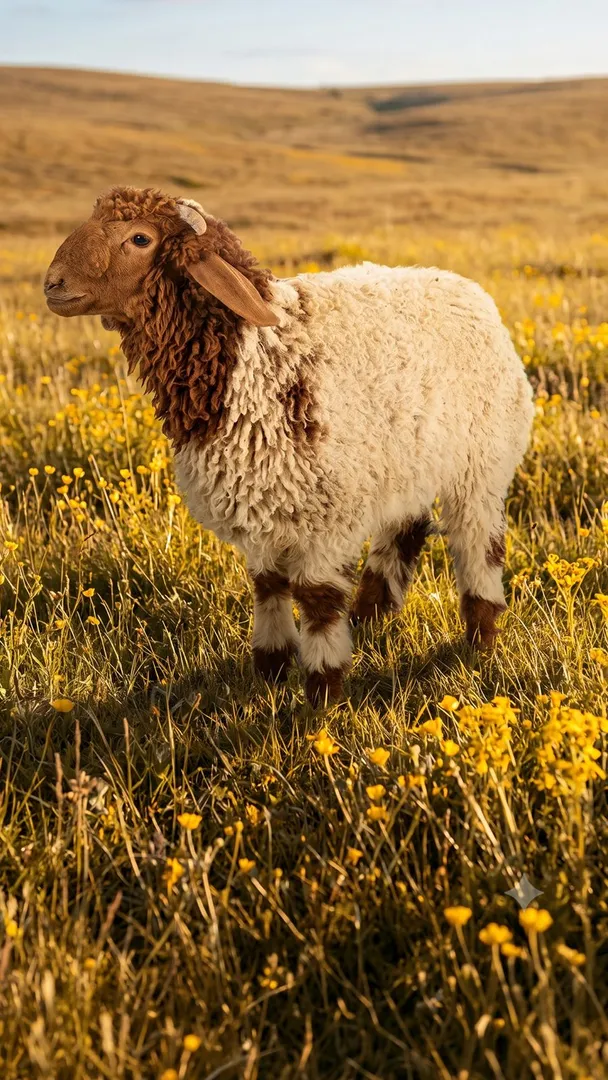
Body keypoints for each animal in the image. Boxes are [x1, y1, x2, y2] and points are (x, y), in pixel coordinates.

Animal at [45, 186, 534, 706]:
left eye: (140, 238)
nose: (52, 284)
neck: (258, 357)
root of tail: (466, 289)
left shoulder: (325, 516)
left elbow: (317, 600)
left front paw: (320, 695)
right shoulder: (262, 502)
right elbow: (269, 585)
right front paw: (272, 669)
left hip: (480, 464)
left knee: (479, 542)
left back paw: (480, 636)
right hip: (406, 460)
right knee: (405, 528)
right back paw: (371, 616)